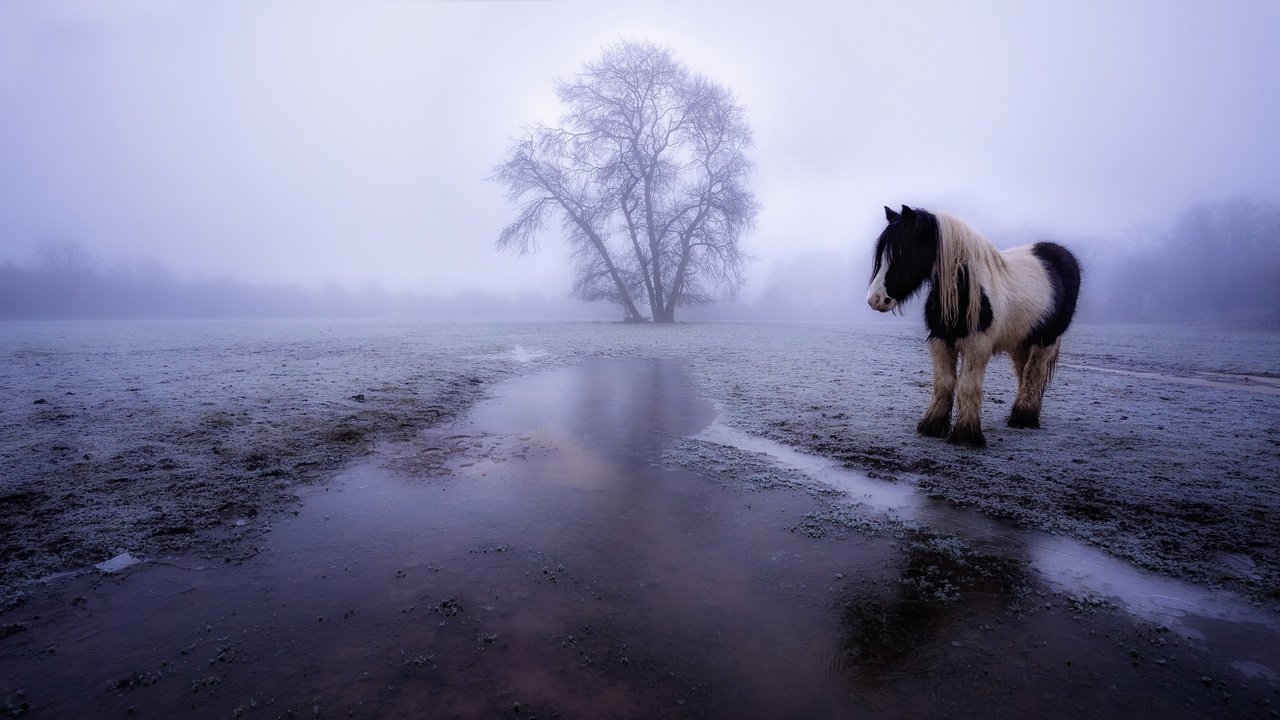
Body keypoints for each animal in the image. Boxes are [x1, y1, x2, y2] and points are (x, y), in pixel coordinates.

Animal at [870, 204, 1080, 445]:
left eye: (903, 252)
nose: (875, 299)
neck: (966, 289)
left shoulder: (978, 345)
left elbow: (968, 386)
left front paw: (967, 434)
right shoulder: (940, 341)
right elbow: (944, 383)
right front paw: (933, 425)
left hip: (1046, 341)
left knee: (1033, 374)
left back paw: (1024, 418)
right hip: (1020, 341)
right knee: (1024, 372)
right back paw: (1021, 414)